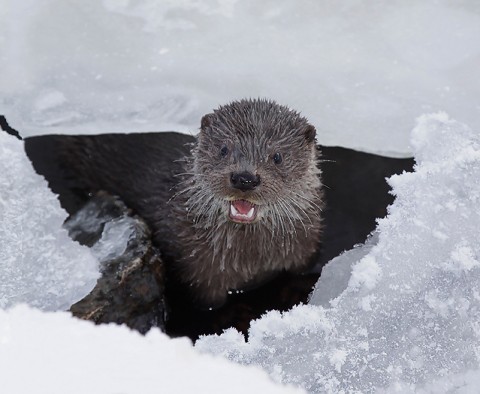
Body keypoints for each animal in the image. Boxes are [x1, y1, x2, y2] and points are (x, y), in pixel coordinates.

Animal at [45, 99, 324, 308]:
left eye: (277, 156)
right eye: (223, 149)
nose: (244, 178)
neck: (252, 260)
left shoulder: (304, 251)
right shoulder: (199, 274)